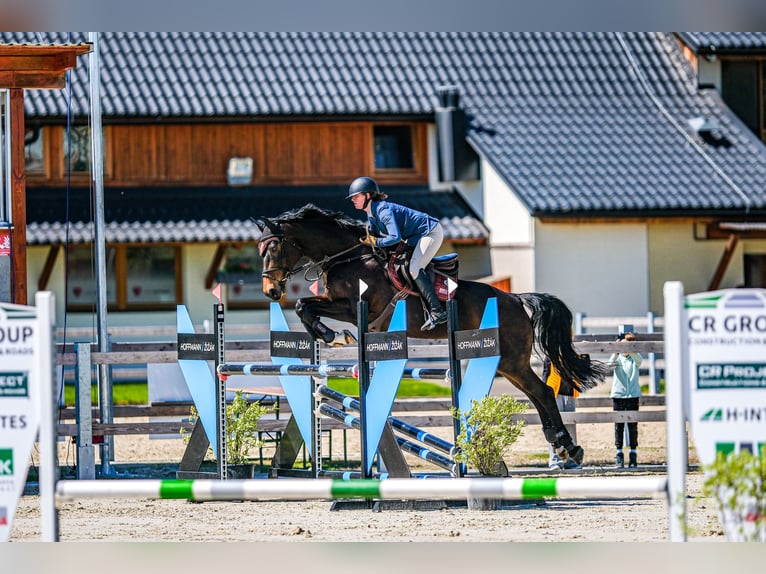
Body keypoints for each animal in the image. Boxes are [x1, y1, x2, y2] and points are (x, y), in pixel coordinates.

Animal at [254, 204, 610, 466]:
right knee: (537, 395)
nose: (271, 291)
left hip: (511, 361)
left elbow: (305, 306)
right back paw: (561, 446)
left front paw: (331, 335)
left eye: (274, 247)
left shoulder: (358, 307)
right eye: (260, 251)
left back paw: (568, 449)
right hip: (508, 363)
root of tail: (516, 299)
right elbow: (305, 306)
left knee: (543, 393)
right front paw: (330, 335)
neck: (348, 258)